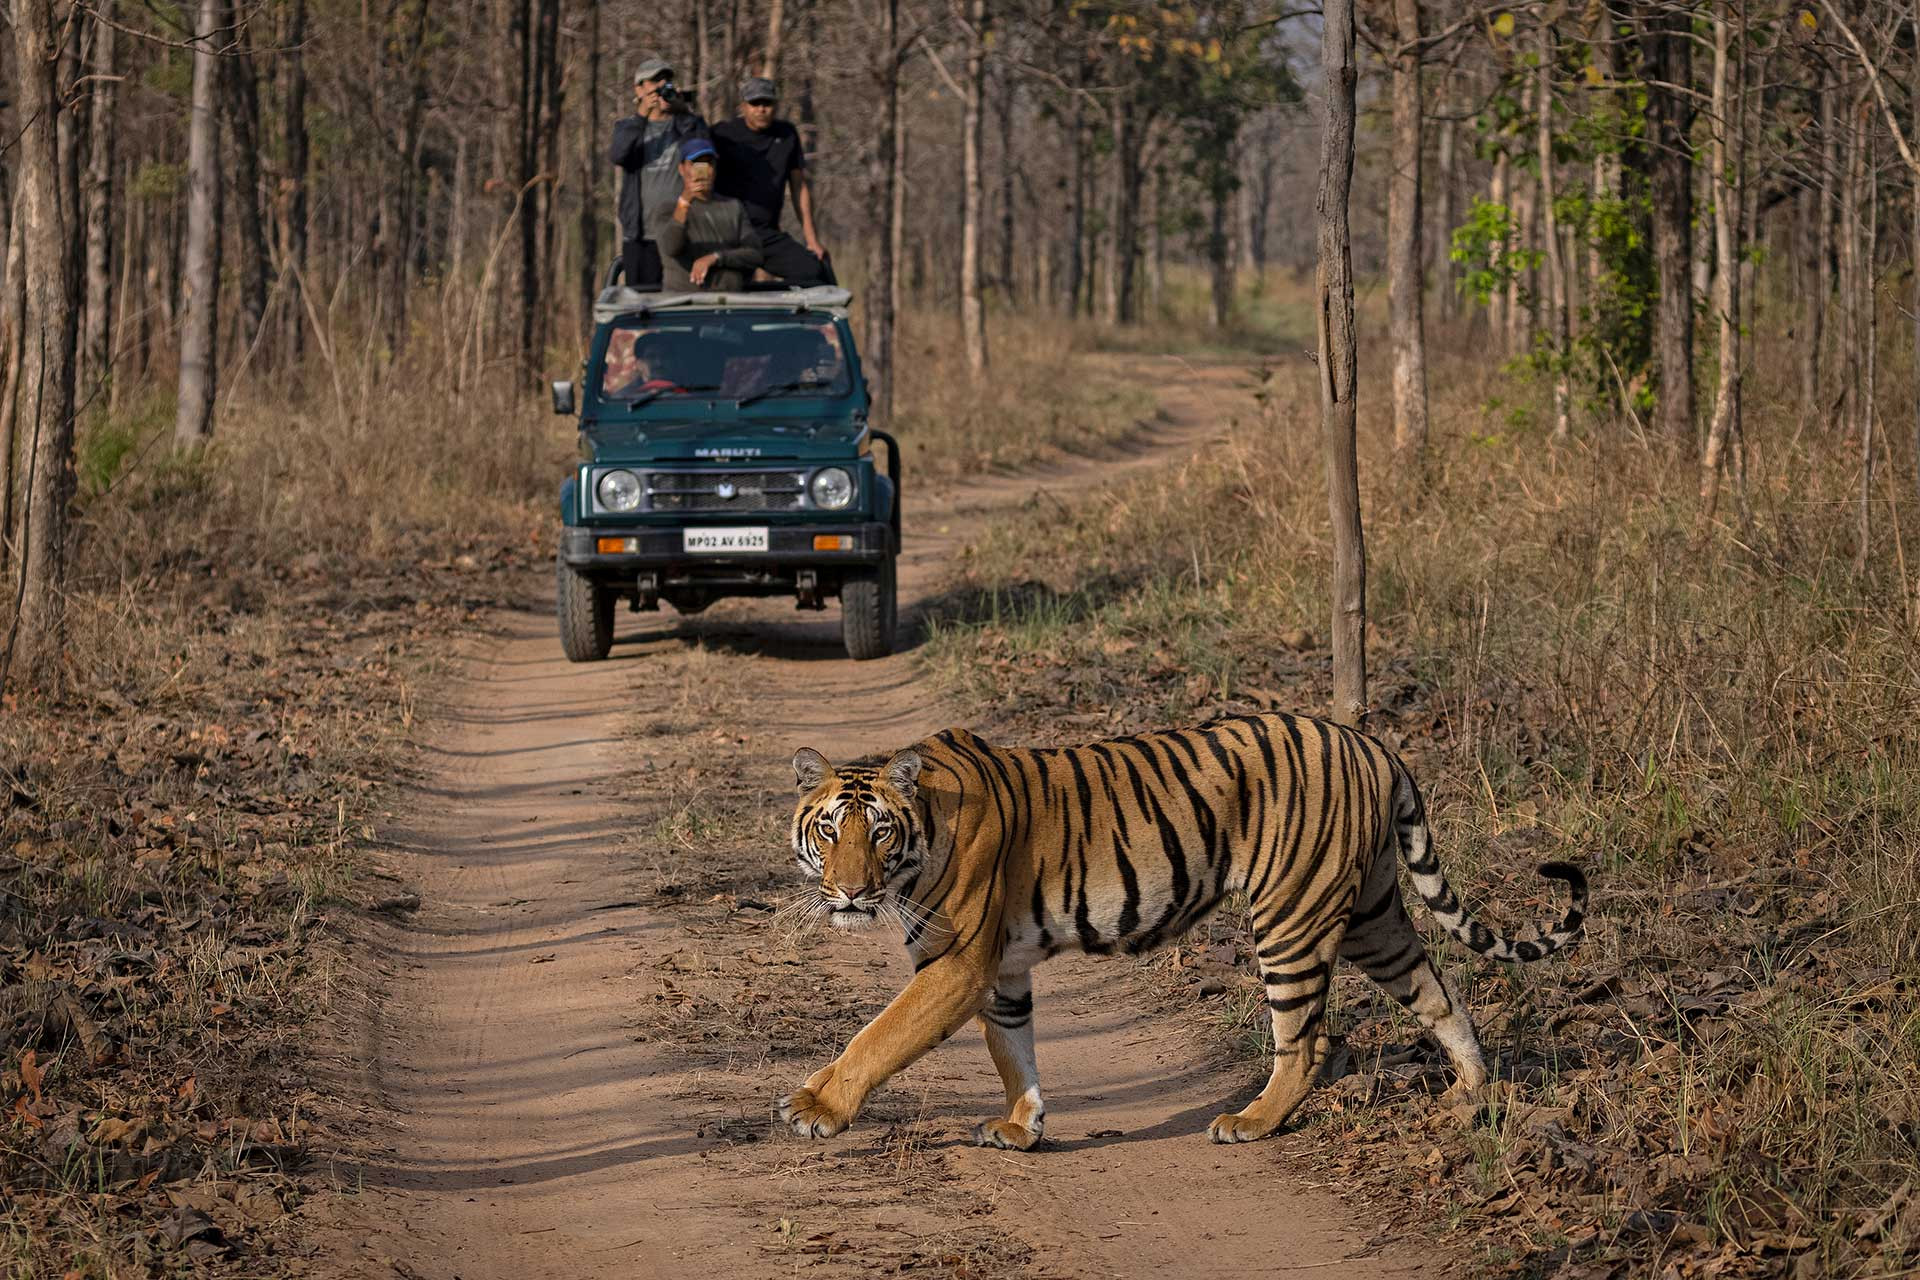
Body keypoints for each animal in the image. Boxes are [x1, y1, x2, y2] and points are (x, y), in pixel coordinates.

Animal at [777, 713, 1587, 1149]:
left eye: (879, 833)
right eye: (830, 830)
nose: (850, 891)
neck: (924, 835)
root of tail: (1370, 743)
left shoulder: (956, 964)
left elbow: (880, 1036)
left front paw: (817, 1107)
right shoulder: (999, 971)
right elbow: (1014, 1049)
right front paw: (1022, 1127)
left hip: (1291, 917)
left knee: (1308, 1041)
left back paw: (1250, 1121)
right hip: (1371, 914)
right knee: (1439, 996)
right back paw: (1472, 1097)